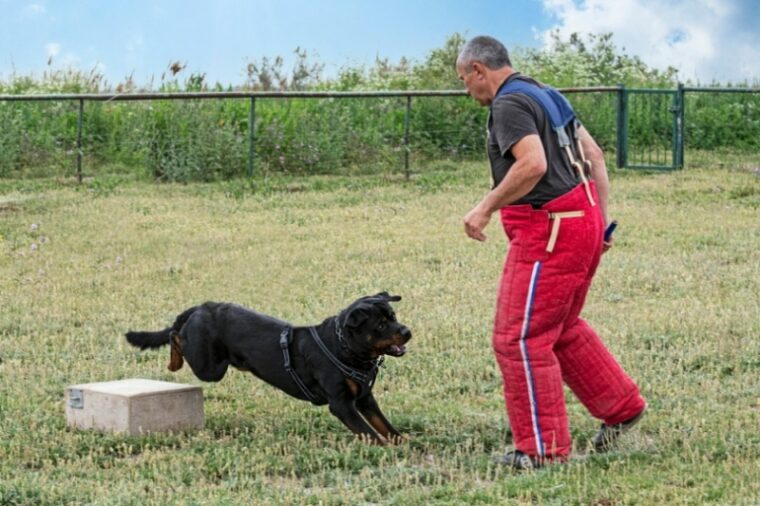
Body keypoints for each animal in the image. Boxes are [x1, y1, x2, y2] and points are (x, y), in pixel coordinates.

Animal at [126, 292, 410, 442]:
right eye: (381, 325)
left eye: (393, 316)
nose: (407, 332)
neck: (346, 349)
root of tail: (200, 307)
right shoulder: (341, 404)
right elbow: (369, 432)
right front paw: (387, 449)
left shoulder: (365, 398)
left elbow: (384, 425)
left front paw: (403, 442)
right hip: (209, 367)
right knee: (174, 335)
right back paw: (173, 361)